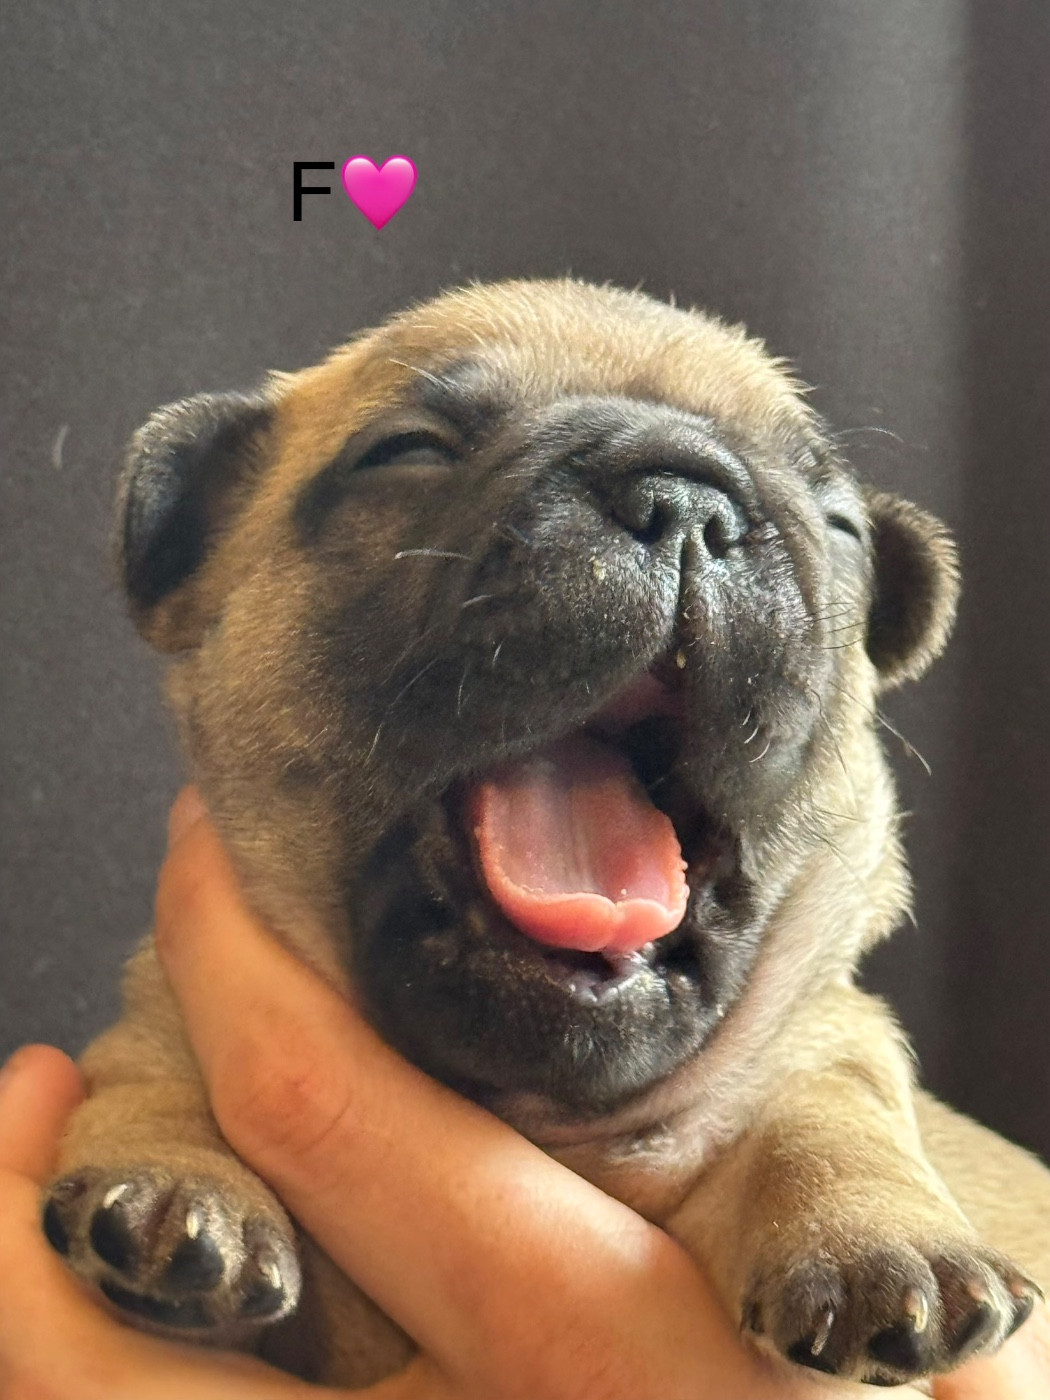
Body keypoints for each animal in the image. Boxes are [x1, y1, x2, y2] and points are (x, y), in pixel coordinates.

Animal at [41, 279, 1050, 1388]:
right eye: (407, 451)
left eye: (844, 529)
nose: (685, 499)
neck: (547, 1114)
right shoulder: (160, 1010)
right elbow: (148, 1065)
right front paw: (181, 1178)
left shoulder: (826, 1043)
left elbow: (825, 1112)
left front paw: (874, 1235)